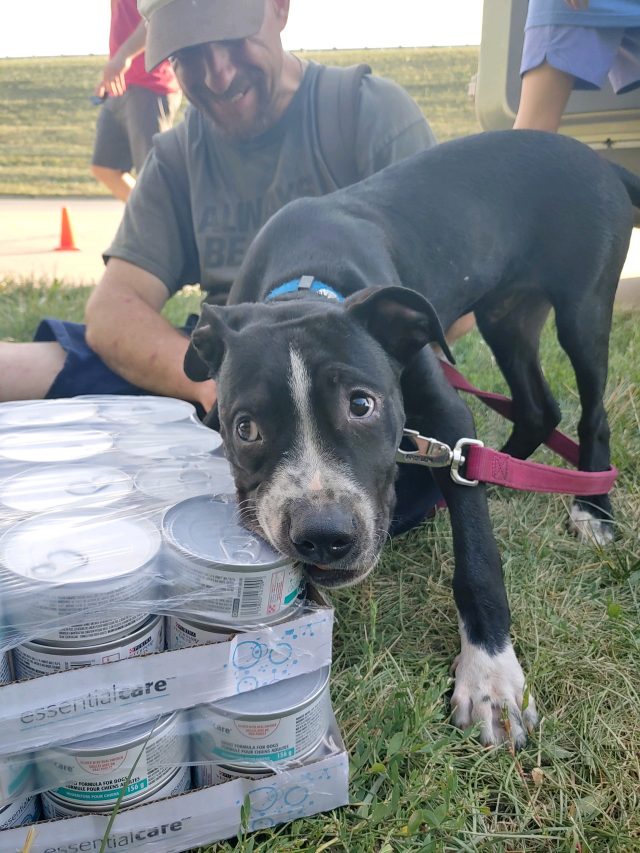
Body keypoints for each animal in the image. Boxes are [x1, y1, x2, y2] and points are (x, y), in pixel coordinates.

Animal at [182, 128, 636, 744]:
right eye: (244, 428)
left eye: (362, 404)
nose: (323, 536)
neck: (304, 287)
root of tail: (602, 161)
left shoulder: (446, 416)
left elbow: (478, 556)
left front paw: (491, 677)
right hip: (506, 316)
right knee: (535, 409)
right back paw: (503, 473)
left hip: (582, 308)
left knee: (589, 412)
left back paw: (592, 507)